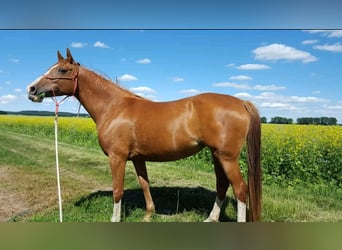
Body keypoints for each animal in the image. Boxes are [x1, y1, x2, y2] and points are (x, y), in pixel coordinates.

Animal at [27, 49, 262, 223]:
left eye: (63, 69)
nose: (31, 89)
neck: (114, 108)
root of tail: (241, 102)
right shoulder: (138, 158)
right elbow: (144, 184)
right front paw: (149, 214)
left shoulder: (118, 158)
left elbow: (117, 191)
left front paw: (115, 219)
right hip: (216, 155)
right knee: (222, 184)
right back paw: (211, 218)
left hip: (227, 157)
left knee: (241, 190)